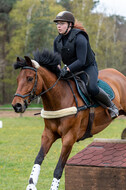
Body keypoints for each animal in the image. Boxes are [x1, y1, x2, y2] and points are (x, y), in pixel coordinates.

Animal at [12, 50, 126, 190]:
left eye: (30, 78)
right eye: (18, 79)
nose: (16, 105)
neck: (59, 99)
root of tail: (119, 74)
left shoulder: (68, 138)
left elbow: (58, 169)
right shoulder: (48, 135)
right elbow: (38, 159)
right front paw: (31, 185)